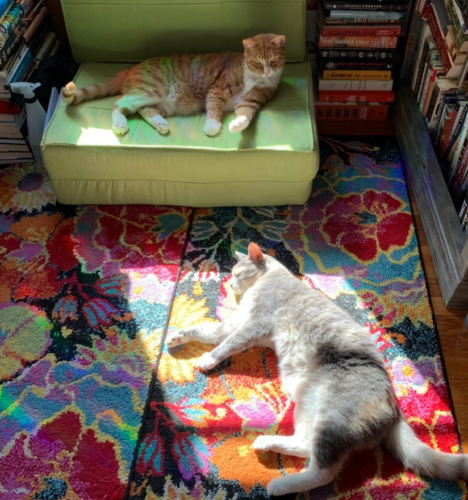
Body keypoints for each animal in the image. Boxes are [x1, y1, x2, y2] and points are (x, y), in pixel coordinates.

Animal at [61, 33, 286, 137]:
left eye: (273, 60)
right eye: (257, 62)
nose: (267, 71)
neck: (255, 79)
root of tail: (133, 66)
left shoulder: (252, 101)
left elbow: (246, 115)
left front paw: (235, 124)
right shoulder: (217, 90)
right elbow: (213, 109)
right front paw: (212, 126)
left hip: (163, 103)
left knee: (143, 110)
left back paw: (160, 124)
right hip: (151, 90)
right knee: (118, 105)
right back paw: (120, 126)